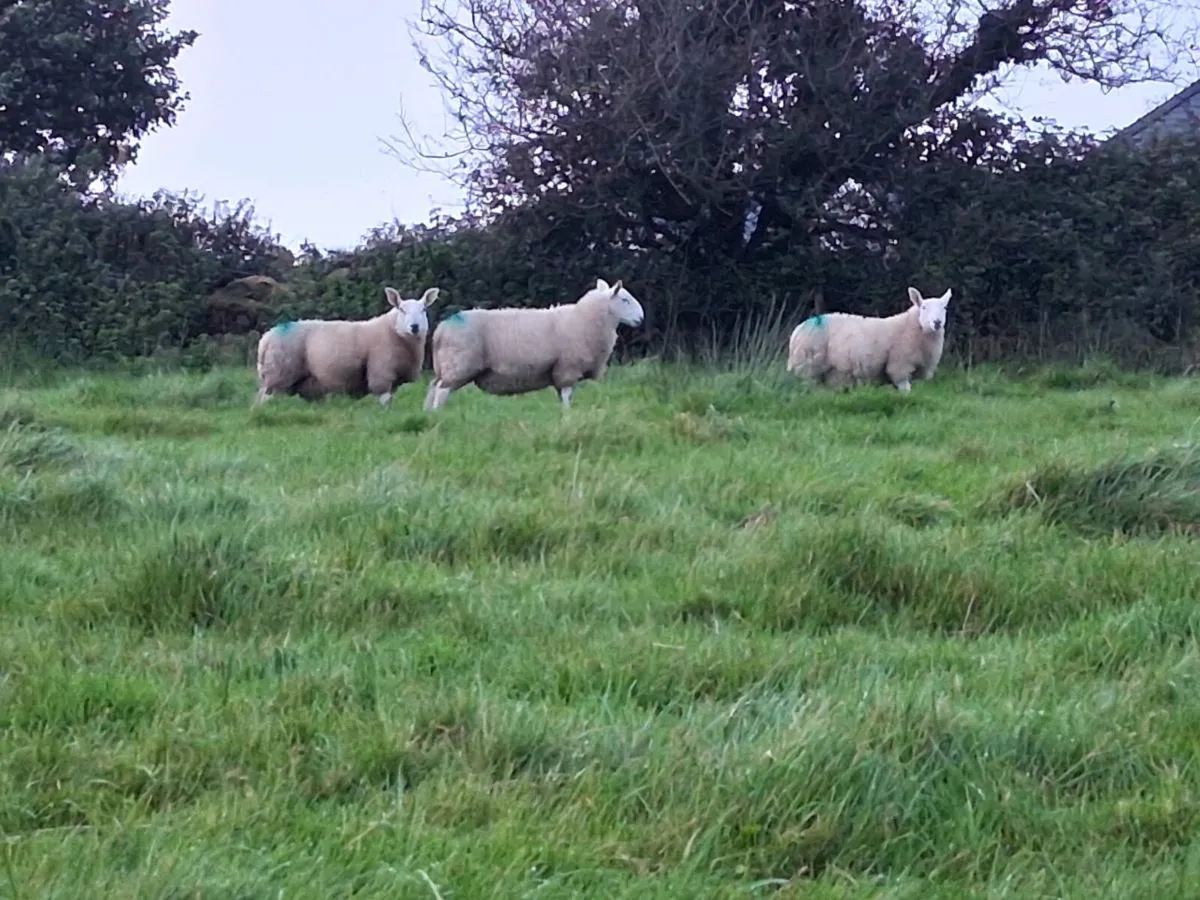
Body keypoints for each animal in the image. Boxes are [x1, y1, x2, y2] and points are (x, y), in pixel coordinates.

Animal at [253, 285, 439, 408]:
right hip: (278, 372)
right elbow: (385, 399)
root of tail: (266, 337)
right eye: (401, 309)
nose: (414, 327)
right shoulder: (381, 372)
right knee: (265, 398)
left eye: (423, 309)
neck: (394, 331)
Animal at [423, 278, 645, 411]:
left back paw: (428, 414)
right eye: (625, 300)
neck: (586, 318)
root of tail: (441, 329)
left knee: (433, 388)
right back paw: (439, 415)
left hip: (446, 367)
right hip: (459, 365)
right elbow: (567, 396)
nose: (641, 318)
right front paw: (568, 415)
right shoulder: (567, 367)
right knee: (441, 392)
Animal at [786, 286, 952, 393]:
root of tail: (797, 330)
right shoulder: (899, 366)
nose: (937, 322)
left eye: (944, 308)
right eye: (923, 307)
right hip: (807, 367)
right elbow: (906, 390)